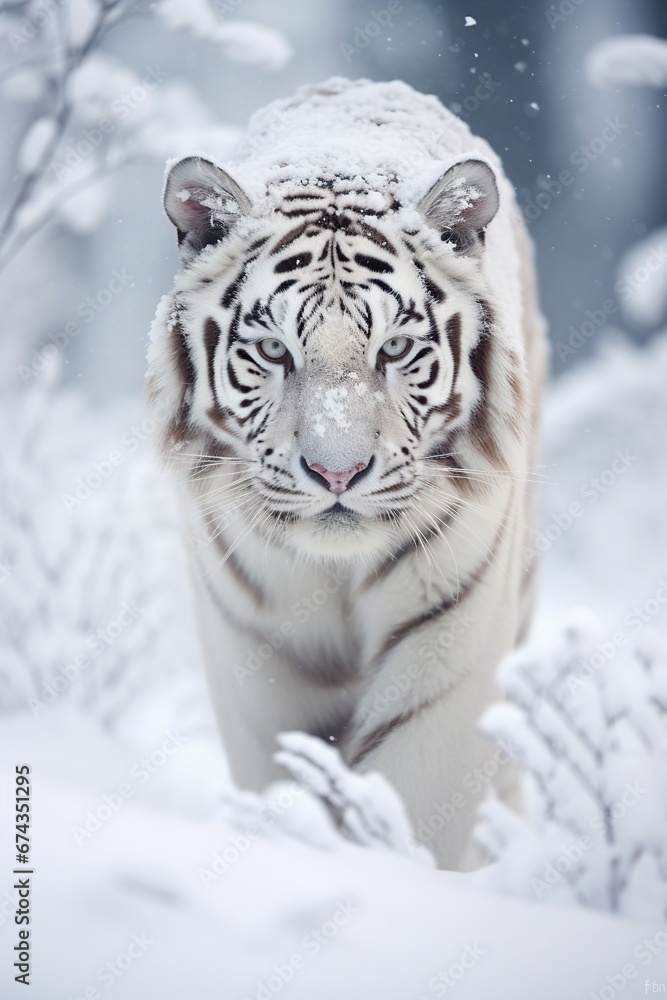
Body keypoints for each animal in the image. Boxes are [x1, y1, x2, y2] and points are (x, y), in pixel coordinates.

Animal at [146, 77, 548, 870]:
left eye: (394, 349)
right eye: (274, 350)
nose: (337, 472)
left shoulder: (449, 644)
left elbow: (413, 802)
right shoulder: (258, 656)